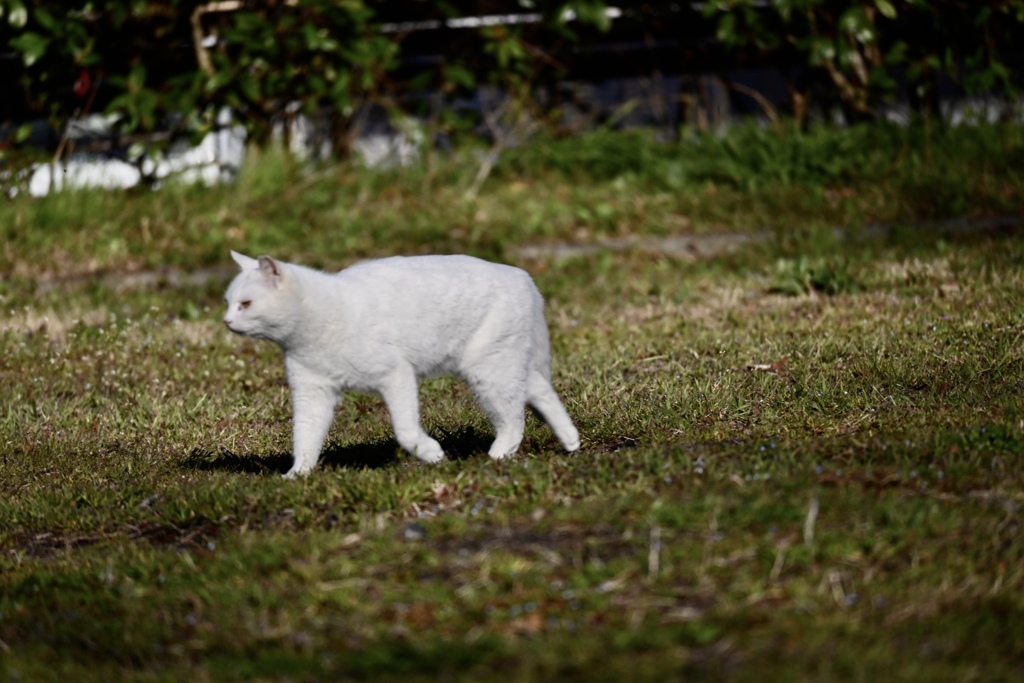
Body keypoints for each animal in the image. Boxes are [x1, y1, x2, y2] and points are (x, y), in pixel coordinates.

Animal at [221, 248, 581, 479]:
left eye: (246, 304)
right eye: (228, 302)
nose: (226, 321)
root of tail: (522, 275)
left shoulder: (396, 374)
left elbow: (406, 431)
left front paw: (433, 455)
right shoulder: (312, 391)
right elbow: (305, 436)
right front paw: (297, 475)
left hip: (489, 369)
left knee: (514, 417)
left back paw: (497, 456)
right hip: (503, 360)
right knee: (539, 391)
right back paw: (571, 442)